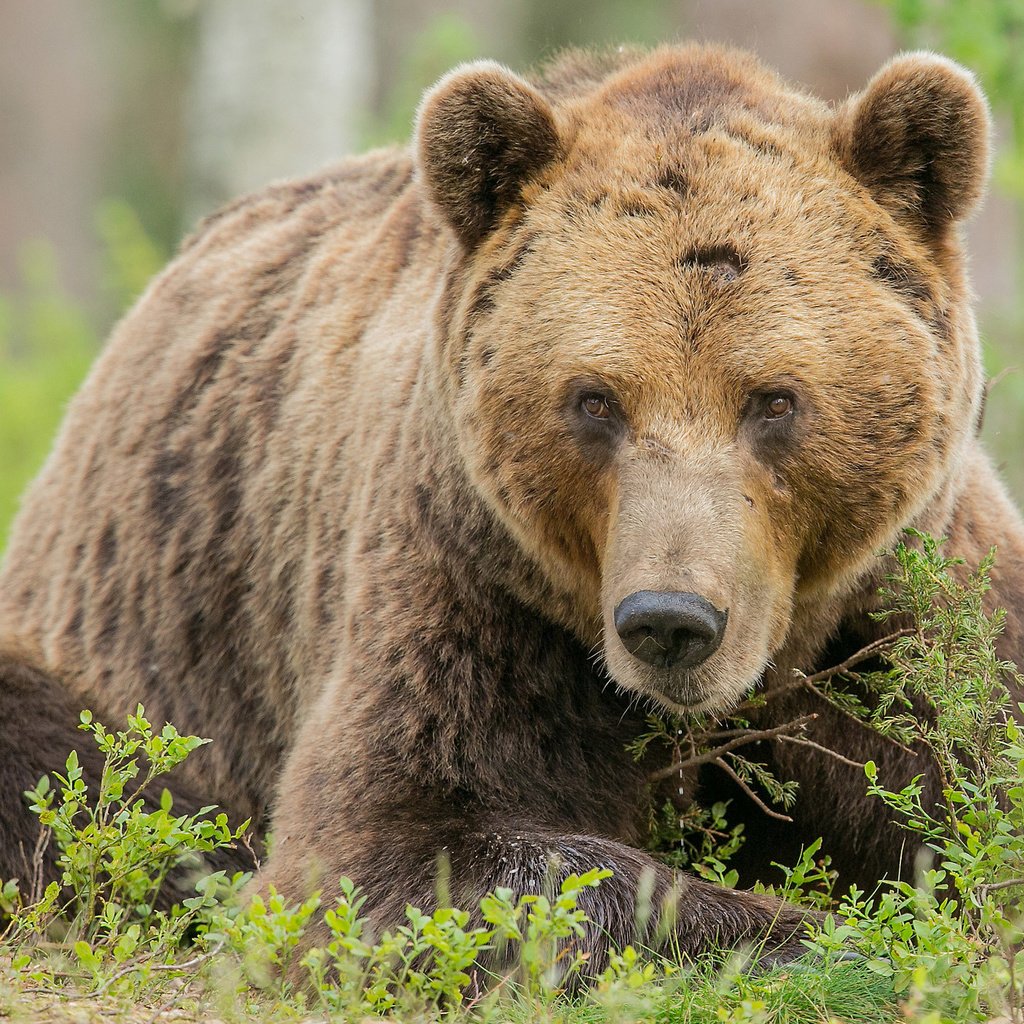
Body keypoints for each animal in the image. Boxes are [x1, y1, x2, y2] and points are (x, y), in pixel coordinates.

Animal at [2, 44, 1024, 962]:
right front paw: (808, 933)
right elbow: (398, 846)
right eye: (595, 399)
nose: (670, 621)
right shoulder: (477, 590)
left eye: (774, 400)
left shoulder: (897, 618)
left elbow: (967, 770)